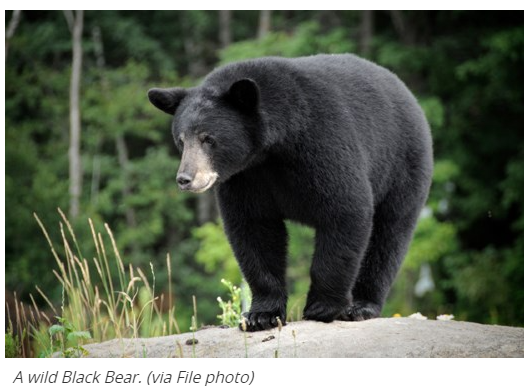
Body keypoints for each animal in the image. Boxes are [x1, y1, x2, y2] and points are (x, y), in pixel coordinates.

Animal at [148, 53, 434, 332]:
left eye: (208, 138)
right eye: (181, 140)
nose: (185, 179)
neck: (272, 149)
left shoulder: (322, 142)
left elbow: (345, 209)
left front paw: (322, 307)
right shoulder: (246, 177)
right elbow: (254, 229)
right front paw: (261, 315)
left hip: (402, 167)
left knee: (388, 236)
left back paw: (362, 306)